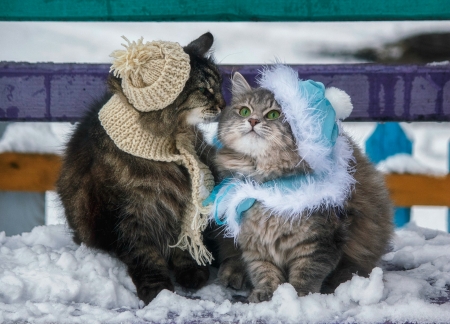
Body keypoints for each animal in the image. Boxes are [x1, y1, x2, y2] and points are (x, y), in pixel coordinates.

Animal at [56, 32, 225, 304]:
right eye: (204, 90)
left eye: (220, 85)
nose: (224, 104)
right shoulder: (126, 214)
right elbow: (145, 255)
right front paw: (157, 290)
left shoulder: (178, 204)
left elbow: (182, 247)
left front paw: (191, 273)